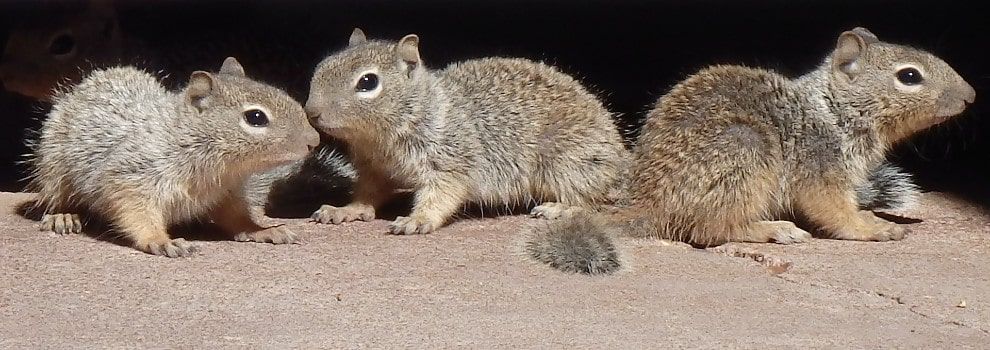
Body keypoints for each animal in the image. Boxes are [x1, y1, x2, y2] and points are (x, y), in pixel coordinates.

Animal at [27, 56, 320, 256]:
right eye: (256, 117)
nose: (314, 141)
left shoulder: (227, 194)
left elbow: (237, 217)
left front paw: (264, 230)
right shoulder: (131, 176)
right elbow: (135, 211)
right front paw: (161, 240)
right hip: (53, 170)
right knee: (55, 198)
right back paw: (62, 216)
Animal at [306, 28, 632, 234]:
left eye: (368, 82)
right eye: (323, 65)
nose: (311, 113)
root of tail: (621, 156)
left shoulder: (450, 161)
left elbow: (442, 195)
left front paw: (417, 219)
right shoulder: (374, 169)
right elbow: (368, 194)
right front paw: (346, 210)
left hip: (569, 163)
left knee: (592, 201)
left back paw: (559, 208)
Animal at [532, 26, 980, 274]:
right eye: (910, 76)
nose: (971, 96)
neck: (834, 111)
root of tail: (648, 206)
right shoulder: (820, 169)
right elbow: (834, 212)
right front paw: (873, 228)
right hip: (743, 156)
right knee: (711, 230)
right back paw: (773, 229)